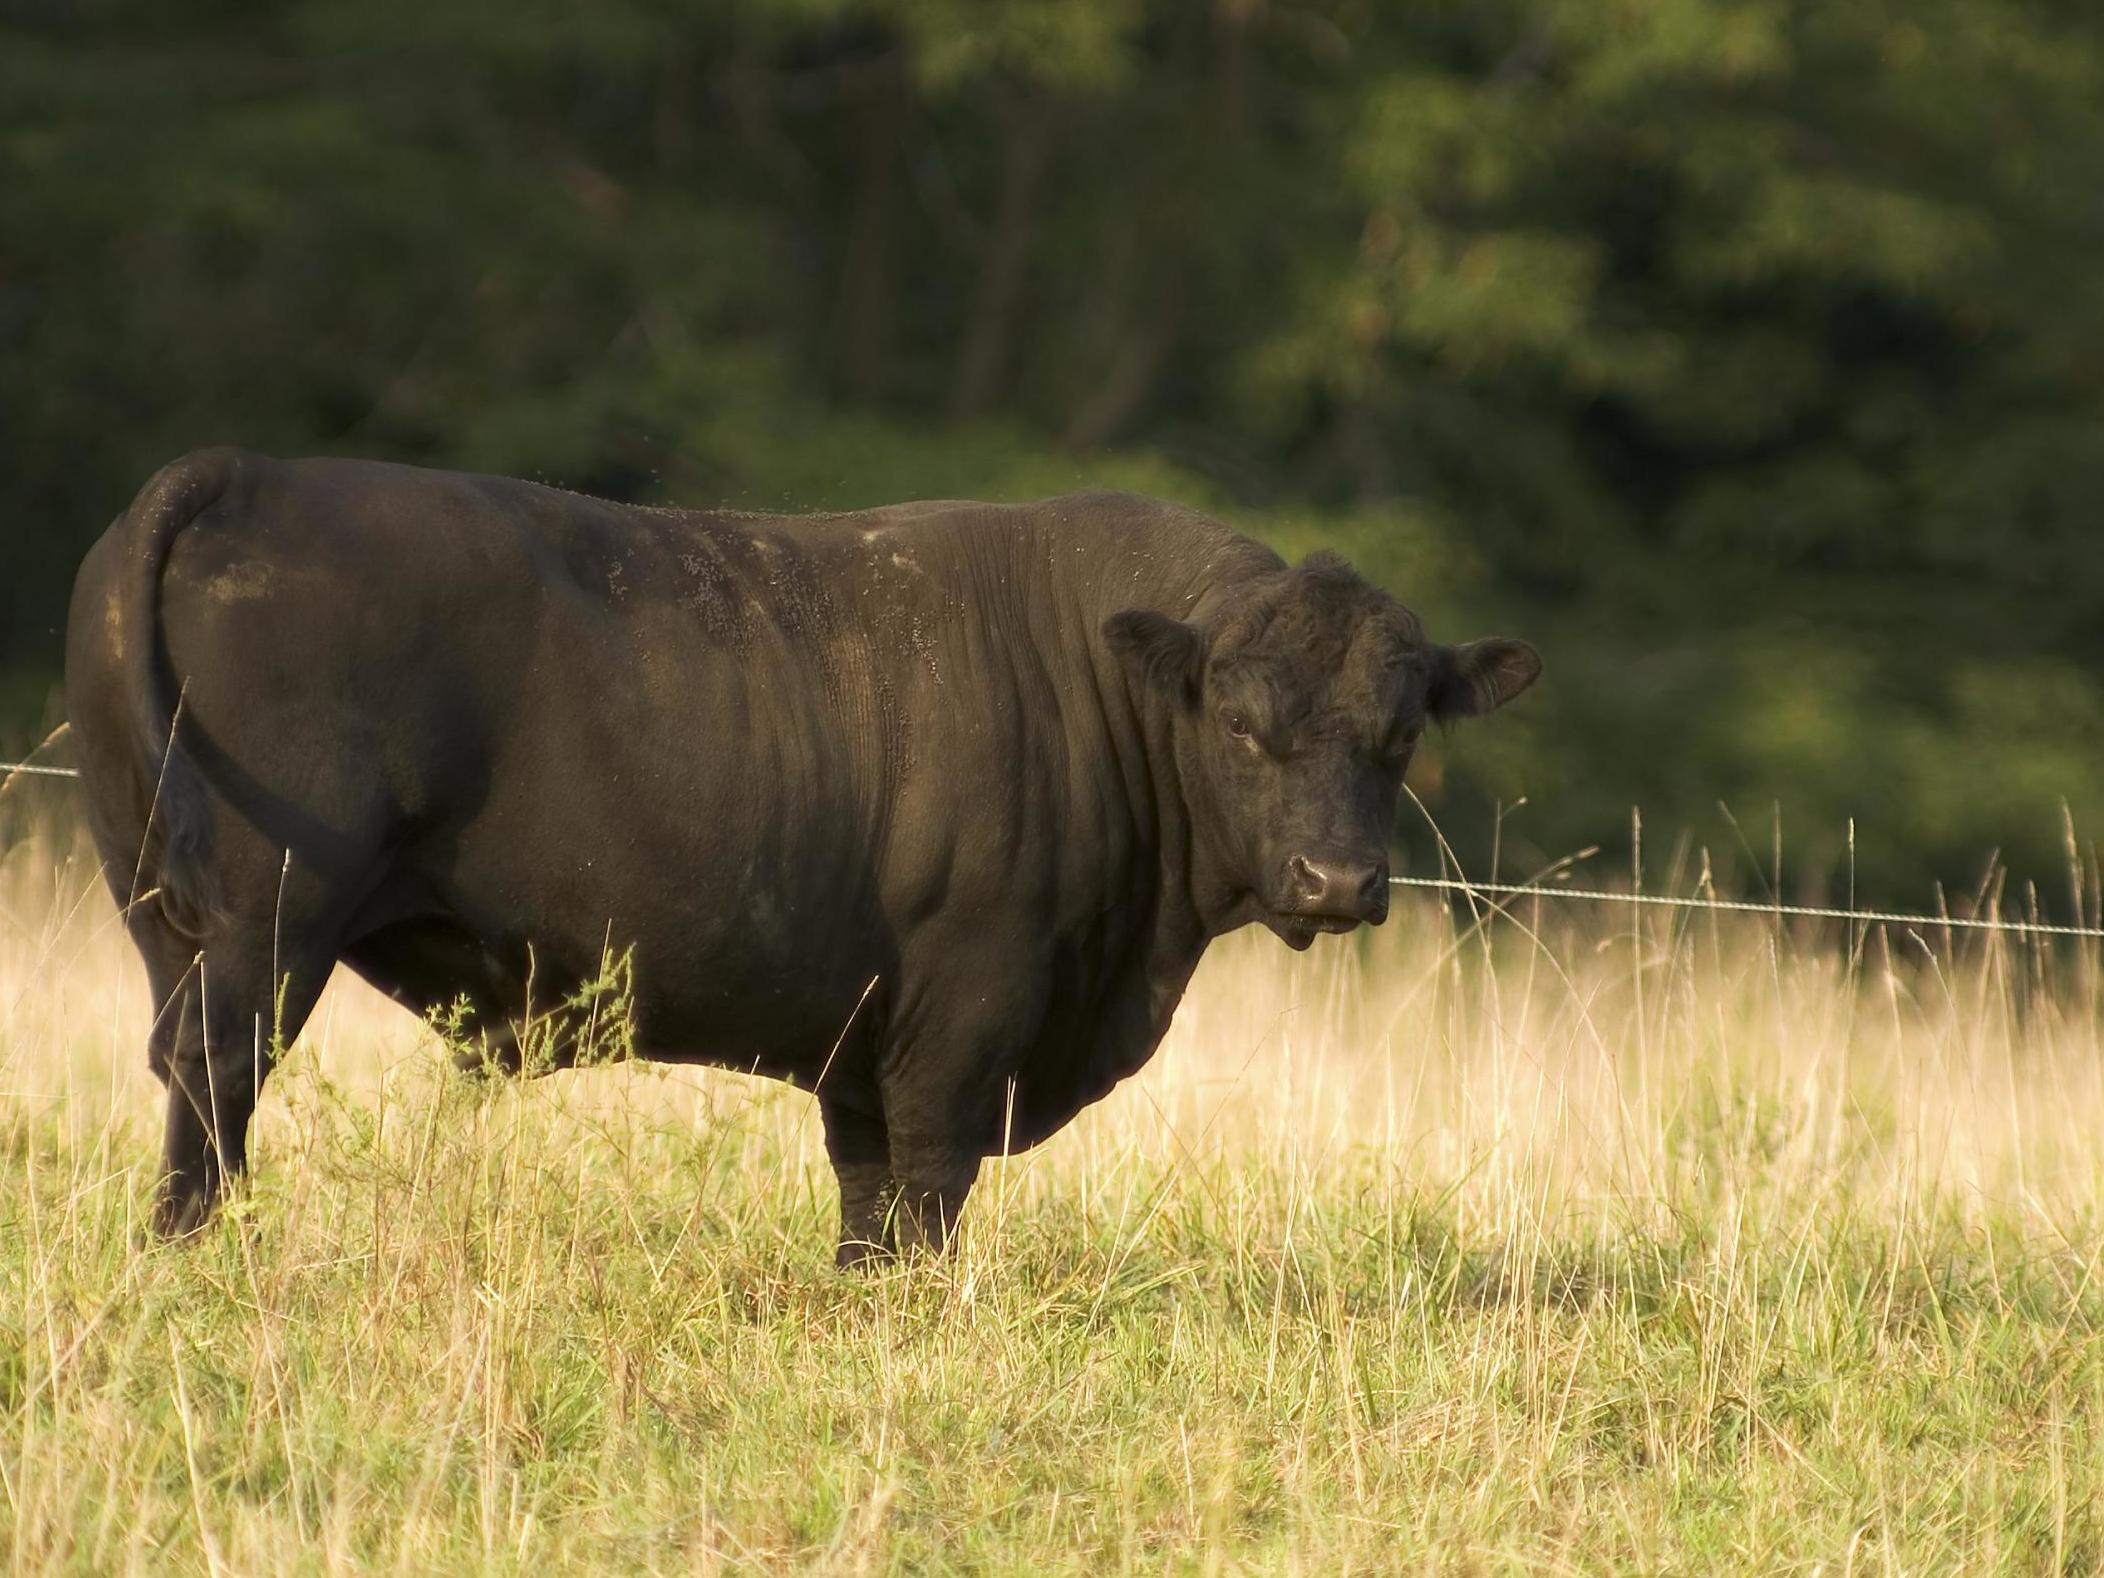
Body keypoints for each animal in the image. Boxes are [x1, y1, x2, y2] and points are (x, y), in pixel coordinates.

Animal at [65, 450, 1539, 1258]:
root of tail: (248, 470)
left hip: (160, 907)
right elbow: (928, 1188)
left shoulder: (862, 1035)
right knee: (217, 1073)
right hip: (268, 921)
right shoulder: (965, 1010)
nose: (1338, 885)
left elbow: (867, 1201)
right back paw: (199, 1248)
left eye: (1400, 733)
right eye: (1239, 723)